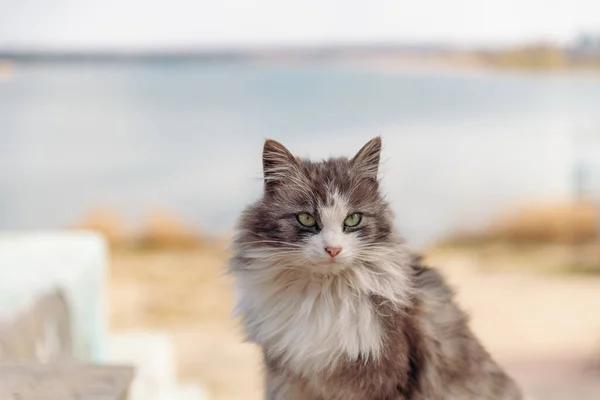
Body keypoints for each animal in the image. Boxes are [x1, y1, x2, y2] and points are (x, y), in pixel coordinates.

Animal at [227, 138, 524, 400]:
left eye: (353, 219)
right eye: (306, 218)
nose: (333, 250)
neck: (323, 296)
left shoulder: (386, 378)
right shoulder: (289, 382)